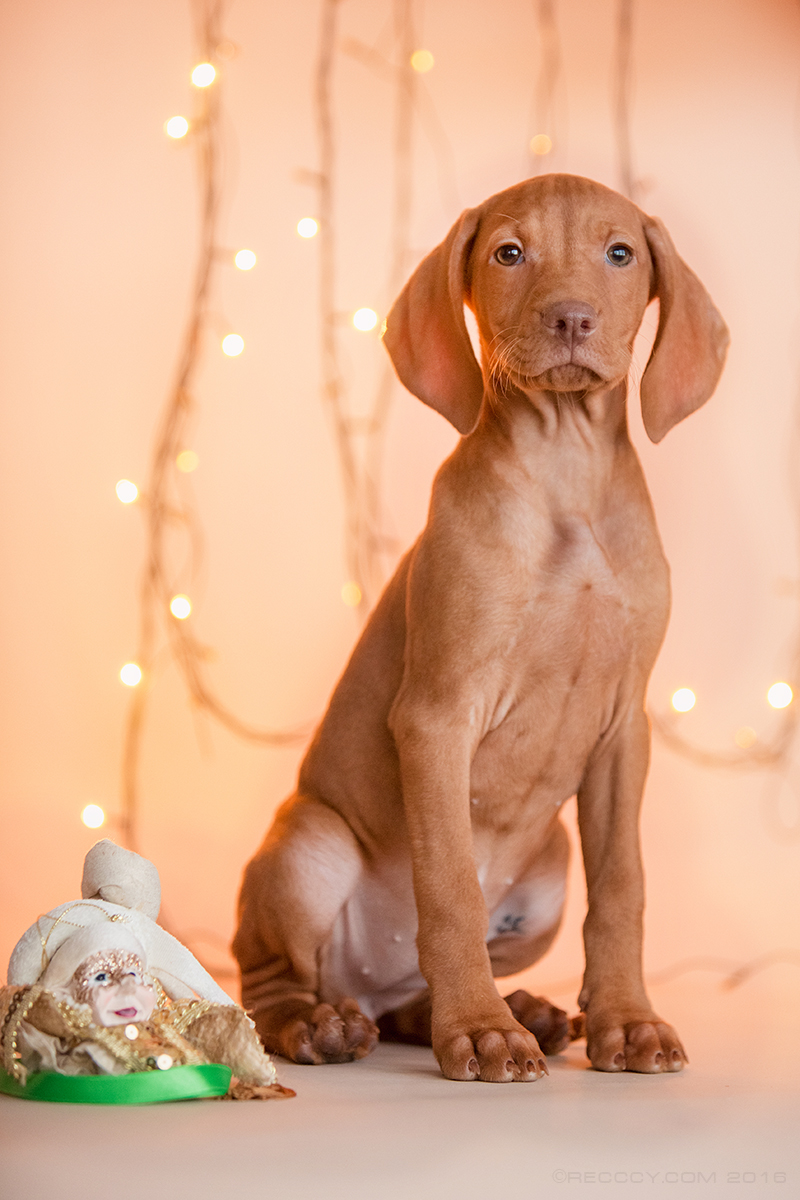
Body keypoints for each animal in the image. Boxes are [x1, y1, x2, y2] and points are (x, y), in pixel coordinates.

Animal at [235, 174, 729, 1084]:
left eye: (620, 252)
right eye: (509, 253)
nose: (571, 318)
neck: (566, 470)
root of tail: (367, 985)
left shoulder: (625, 730)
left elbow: (624, 888)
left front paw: (627, 1021)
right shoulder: (436, 717)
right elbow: (451, 888)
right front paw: (479, 1031)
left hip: (550, 869)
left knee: (407, 999)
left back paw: (519, 1009)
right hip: (311, 844)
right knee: (270, 978)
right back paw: (321, 1024)